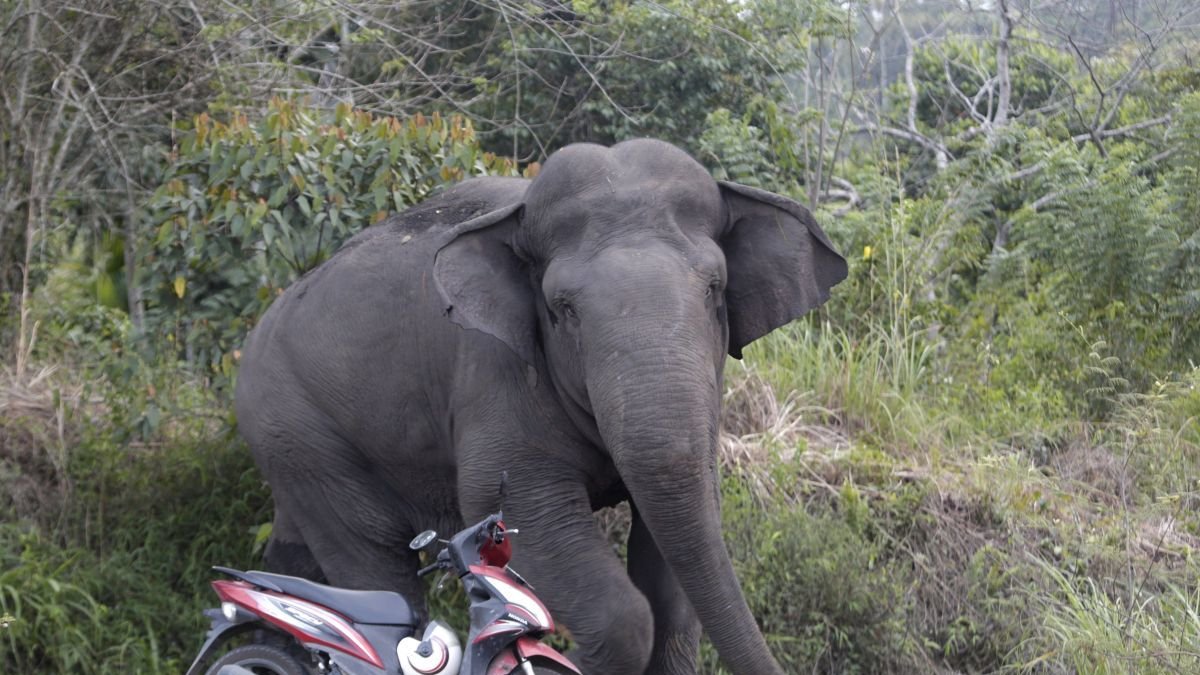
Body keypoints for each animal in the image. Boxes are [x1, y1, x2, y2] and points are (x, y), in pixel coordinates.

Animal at [234, 138, 848, 675]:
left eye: (714, 288)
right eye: (563, 307)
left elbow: (674, 574)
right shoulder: (494, 376)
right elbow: (521, 513)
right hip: (301, 436)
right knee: (378, 577)